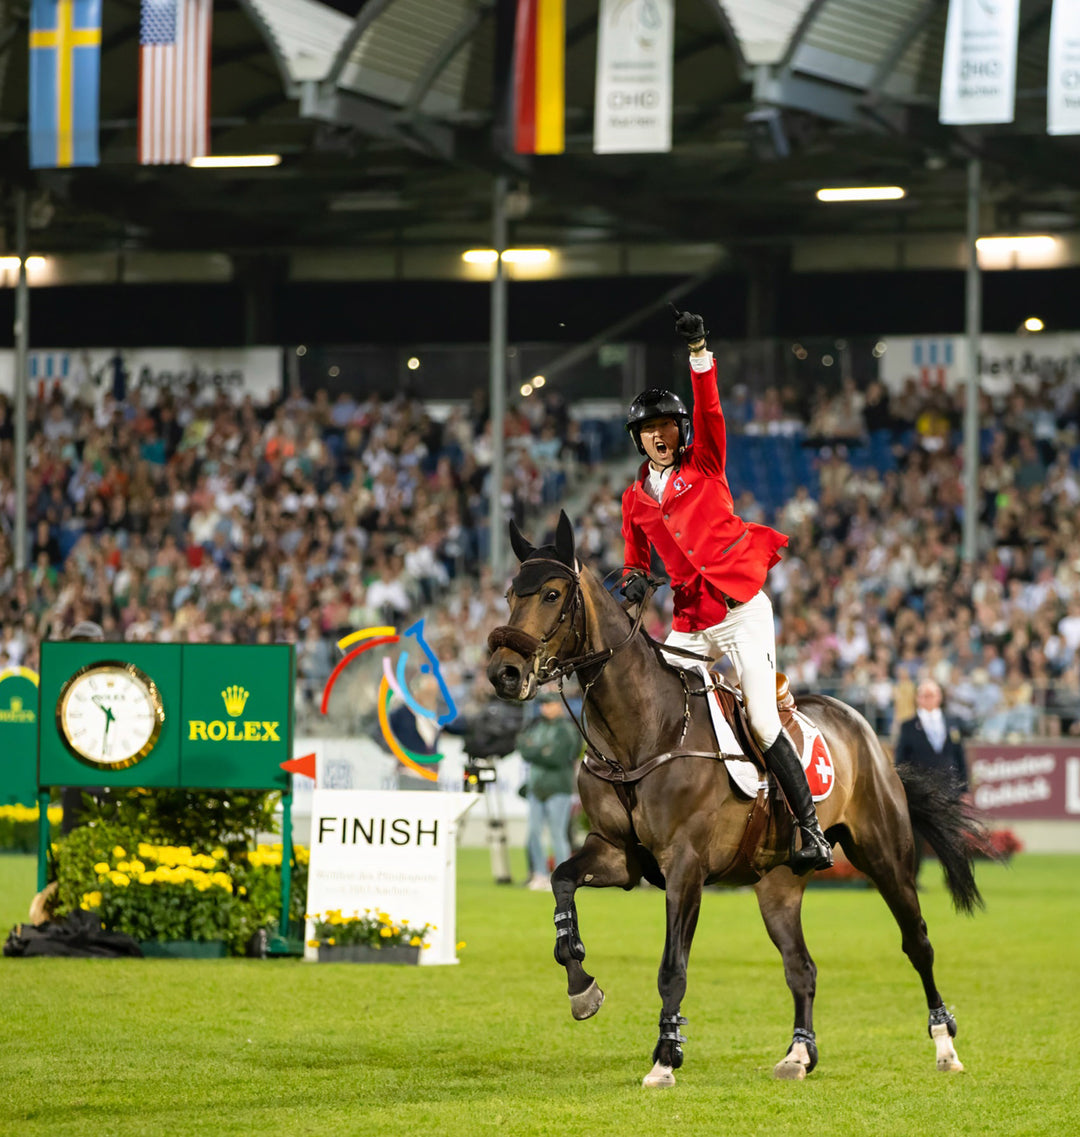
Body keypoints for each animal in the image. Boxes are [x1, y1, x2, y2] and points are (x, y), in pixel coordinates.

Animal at [491, 513, 991, 1082]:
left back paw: (944, 1045)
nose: (503, 672)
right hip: (778, 883)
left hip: (884, 855)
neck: (641, 732)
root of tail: (862, 727)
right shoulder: (616, 854)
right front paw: (581, 985)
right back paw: (799, 1054)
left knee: (918, 943)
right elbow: (561, 883)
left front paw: (665, 1057)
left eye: (552, 594)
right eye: (510, 594)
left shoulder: (685, 866)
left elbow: (672, 967)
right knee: (801, 966)